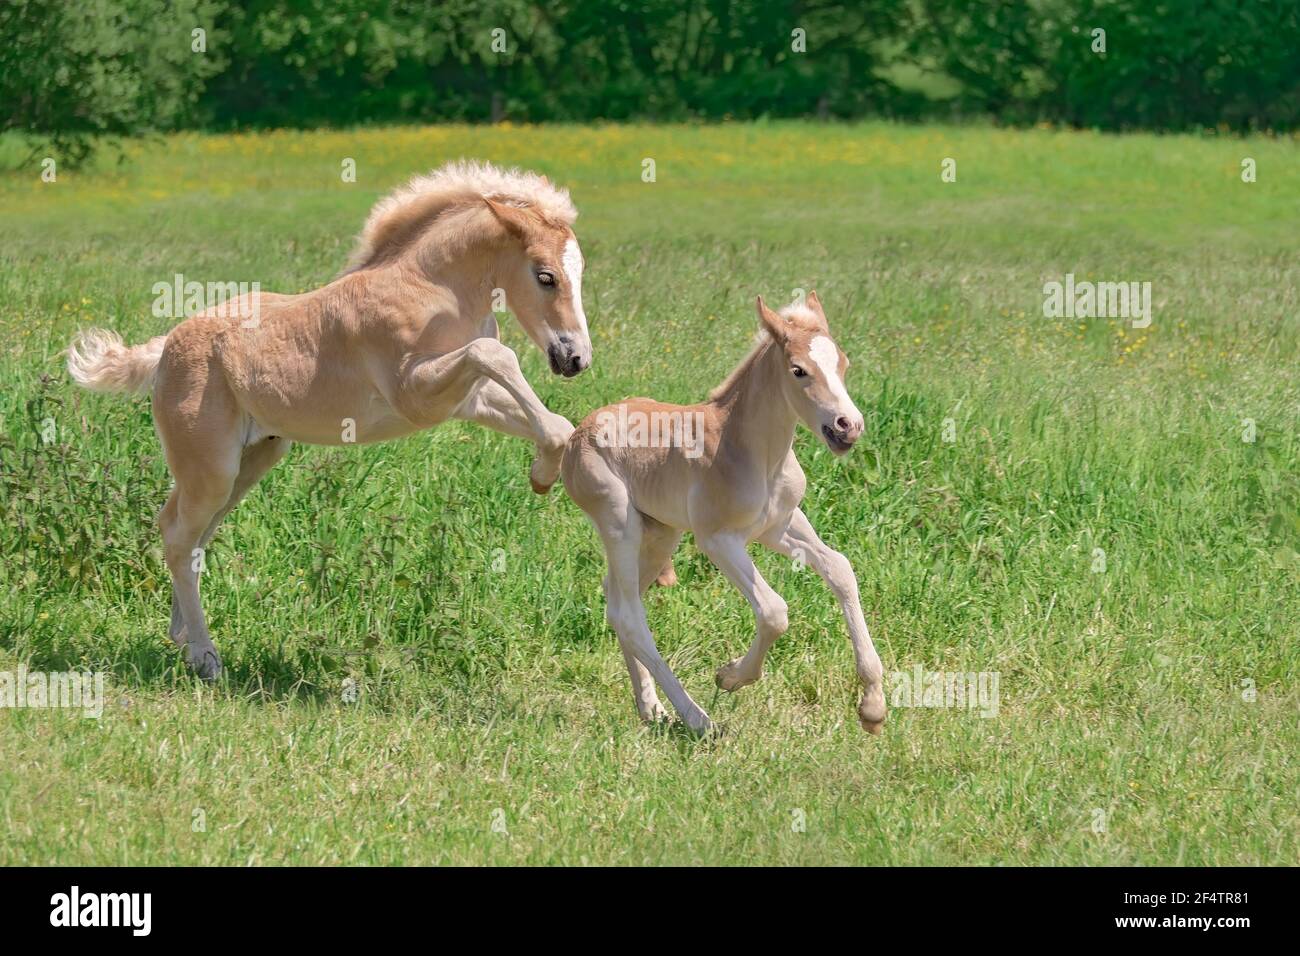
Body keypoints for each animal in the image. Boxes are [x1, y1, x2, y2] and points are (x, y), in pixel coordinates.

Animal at [68, 160, 591, 680]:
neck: (430, 288)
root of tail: (164, 349)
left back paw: (181, 636)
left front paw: (544, 472)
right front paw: (543, 473)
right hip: (211, 468)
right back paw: (204, 656)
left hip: (249, 461)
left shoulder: (469, 399)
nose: (576, 359)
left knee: (189, 533)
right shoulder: (415, 394)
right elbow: (496, 354)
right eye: (546, 276)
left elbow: (555, 422)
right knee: (179, 536)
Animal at [562, 292, 886, 736]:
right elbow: (774, 611)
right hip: (618, 522)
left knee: (618, 602)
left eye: (843, 363)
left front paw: (872, 706)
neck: (755, 453)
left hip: (661, 532)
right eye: (798, 370)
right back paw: (698, 719)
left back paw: (651, 707)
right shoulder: (718, 539)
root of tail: (574, 437)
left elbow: (840, 569)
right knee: (628, 614)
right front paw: (730, 676)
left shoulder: (779, 525)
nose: (847, 426)